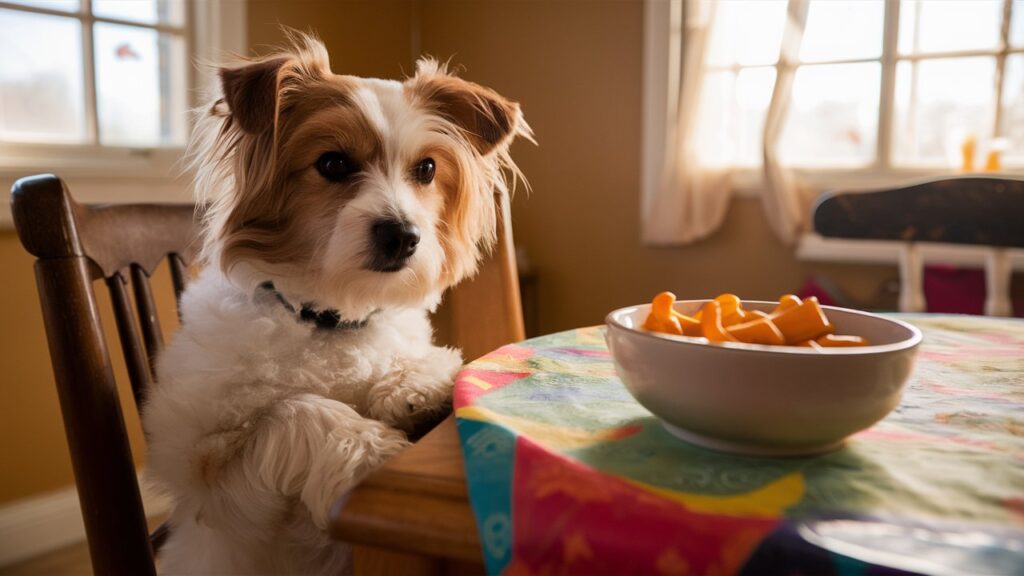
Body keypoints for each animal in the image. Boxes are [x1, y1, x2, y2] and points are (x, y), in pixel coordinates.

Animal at [144, 33, 532, 569]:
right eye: (332, 163)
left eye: (427, 169)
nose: (403, 235)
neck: (329, 317)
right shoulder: (208, 476)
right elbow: (294, 411)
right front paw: (372, 452)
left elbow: (429, 360)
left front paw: (413, 385)